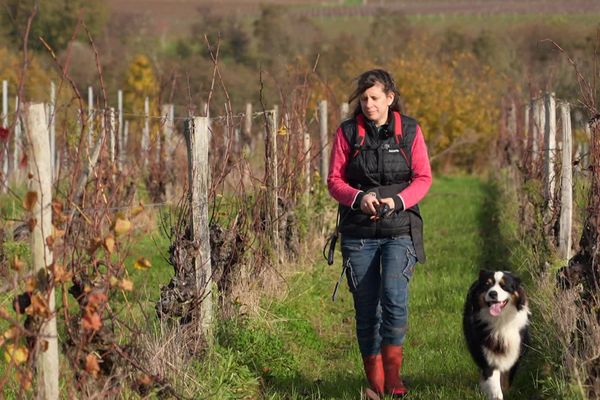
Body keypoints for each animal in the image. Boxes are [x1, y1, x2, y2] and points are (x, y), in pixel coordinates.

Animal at [464, 270, 528, 398]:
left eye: (504, 286)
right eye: (487, 285)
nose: (493, 293)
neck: (500, 320)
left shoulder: (515, 353)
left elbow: (506, 381)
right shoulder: (488, 355)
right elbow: (494, 385)